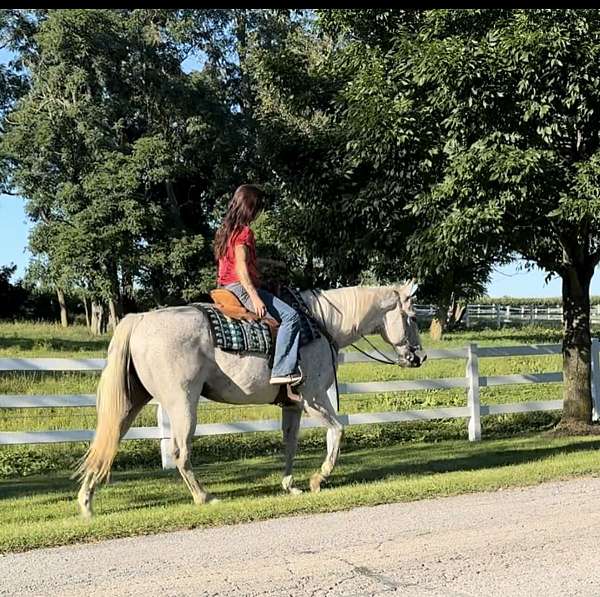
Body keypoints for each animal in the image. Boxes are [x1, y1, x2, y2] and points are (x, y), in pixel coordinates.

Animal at [77, 282, 424, 516]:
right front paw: (318, 479)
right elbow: (337, 431)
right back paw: (204, 497)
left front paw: (291, 485)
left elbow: (290, 443)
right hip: (182, 403)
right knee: (179, 451)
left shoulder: (293, 405)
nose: (419, 356)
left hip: (131, 402)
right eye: (412, 317)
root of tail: (141, 319)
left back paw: (86, 503)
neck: (322, 325)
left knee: (106, 442)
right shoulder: (313, 398)